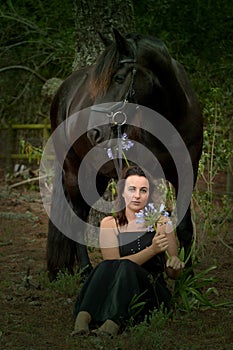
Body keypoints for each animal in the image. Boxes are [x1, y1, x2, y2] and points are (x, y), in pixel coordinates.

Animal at [46, 30, 202, 282]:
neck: (172, 114)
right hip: (74, 171)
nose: (93, 132)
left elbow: (184, 227)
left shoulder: (188, 172)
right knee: (77, 217)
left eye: (119, 78)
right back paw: (85, 270)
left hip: (99, 175)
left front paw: (188, 276)